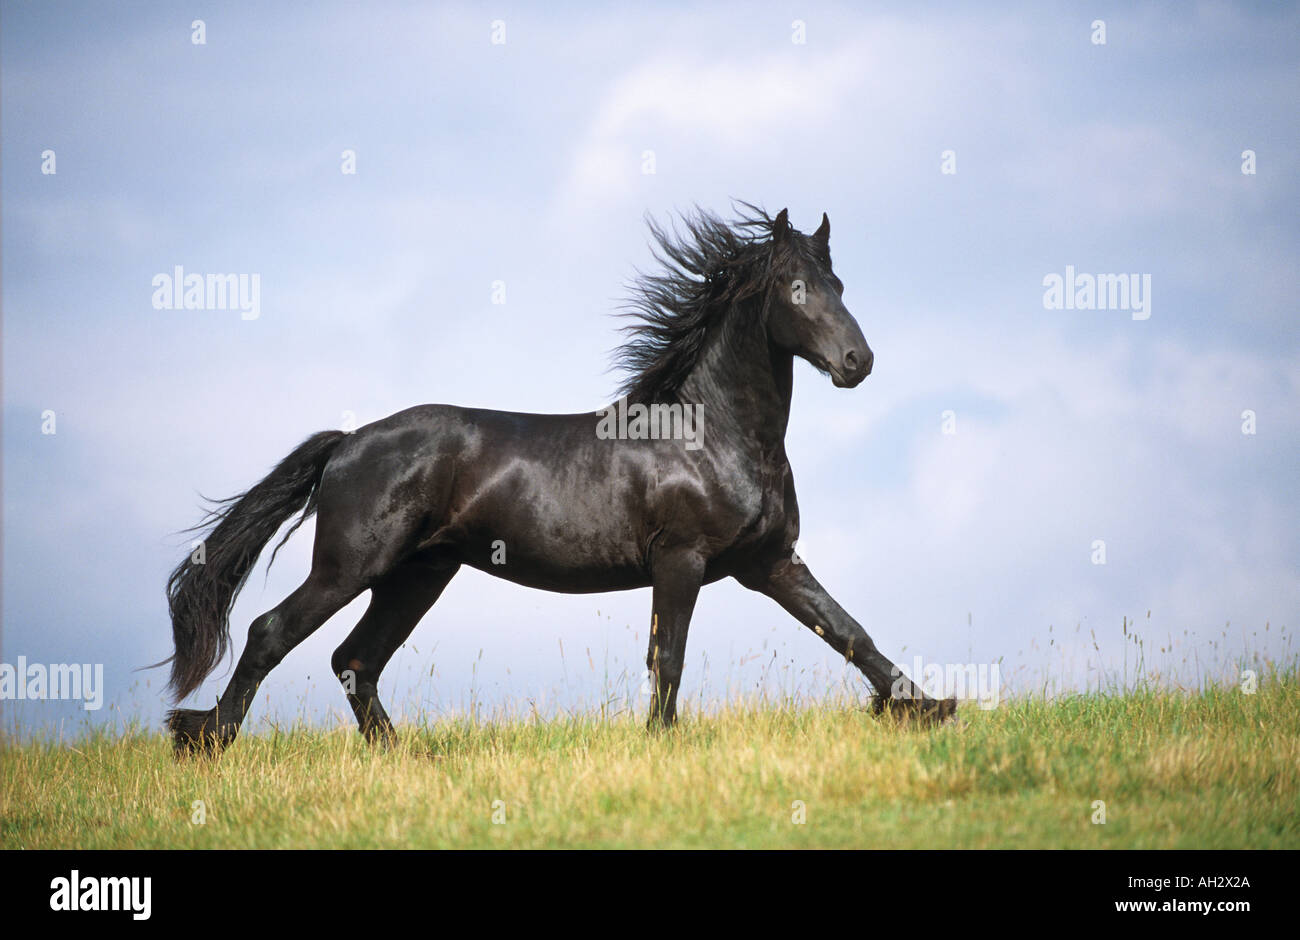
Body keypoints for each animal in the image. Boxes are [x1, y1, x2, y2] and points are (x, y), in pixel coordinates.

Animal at [165, 208, 956, 759]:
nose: (858, 362)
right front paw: (660, 744)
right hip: (351, 565)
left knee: (355, 659)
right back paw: (205, 741)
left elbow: (849, 631)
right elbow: (668, 656)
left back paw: (404, 757)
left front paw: (929, 707)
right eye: (796, 288)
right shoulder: (682, 559)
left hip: (419, 573)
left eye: (839, 284)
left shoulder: (770, 562)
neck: (715, 436)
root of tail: (347, 445)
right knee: (272, 633)